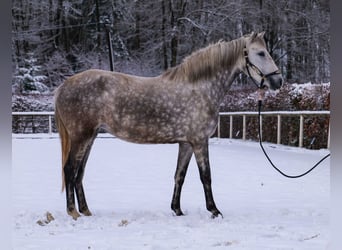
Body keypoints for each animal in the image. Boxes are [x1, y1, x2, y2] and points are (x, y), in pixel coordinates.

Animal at [54, 30, 284, 219]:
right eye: (261, 53)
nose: (278, 81)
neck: (200, 88)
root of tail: (64, 86)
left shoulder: (186, 143)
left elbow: (179, 175)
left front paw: (177, 210)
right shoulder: (199, 141)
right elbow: (206, 176)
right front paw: (214, 210)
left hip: (90, 137)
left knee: (79, 173)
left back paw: (85, 210)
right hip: (81, 137)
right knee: (69, 169)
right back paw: (73, 212)